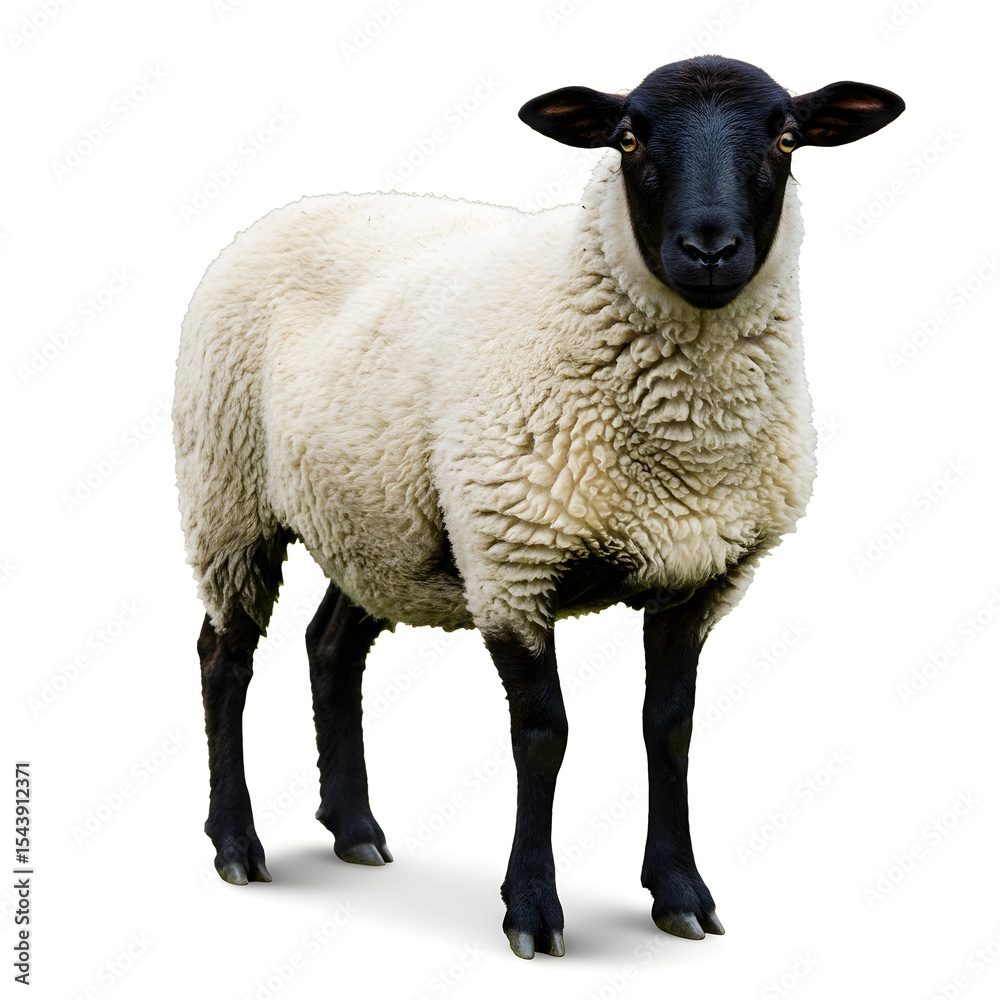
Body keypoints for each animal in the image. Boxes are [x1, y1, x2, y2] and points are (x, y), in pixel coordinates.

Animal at [173, 54, 904, 959]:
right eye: (627, 138)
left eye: (788, 138)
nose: (708, 249)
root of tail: (294, 205)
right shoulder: (511, 563)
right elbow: (543, 735)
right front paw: (531, 907)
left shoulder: (699, 577)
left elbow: (670, 728)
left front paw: (680, 894)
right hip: (228, 496)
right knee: (224, 658)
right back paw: (236, 844)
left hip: (374, 517)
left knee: (330, 647)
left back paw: (354, 828)